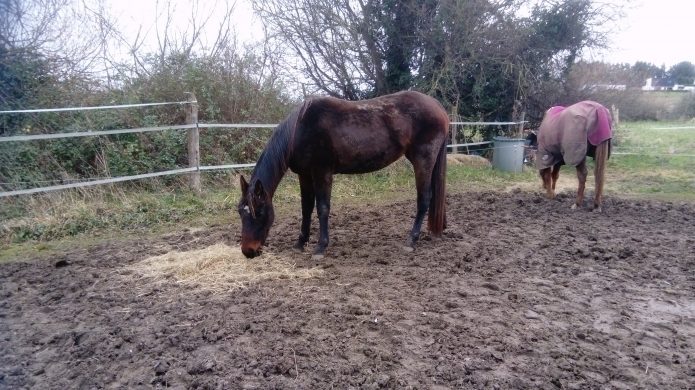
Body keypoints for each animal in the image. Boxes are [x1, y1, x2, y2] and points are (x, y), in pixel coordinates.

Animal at [237, 91, 448, 258]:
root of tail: (436, 105)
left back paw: (411, 240)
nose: (249, 251)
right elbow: (306, 208)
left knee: (424, 198)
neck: (299, 130)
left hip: (423, 158)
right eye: (240, 212)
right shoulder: (304, 175)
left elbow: (322, 208)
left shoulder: (321, 172)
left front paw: (320, 247)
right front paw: (300, 243)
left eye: (259, 213)